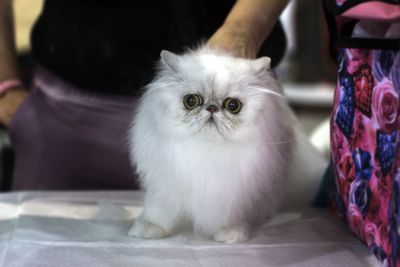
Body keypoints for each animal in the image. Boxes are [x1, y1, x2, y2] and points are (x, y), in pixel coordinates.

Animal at [128, 46, 328, 245]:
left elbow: (228, 215)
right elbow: (160, 212)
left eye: (233, 105)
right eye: (191, 101)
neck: (206, 152)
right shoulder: (166, 184)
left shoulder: (231, 190)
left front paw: (229, 233)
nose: (212, 108)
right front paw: (148, 228)